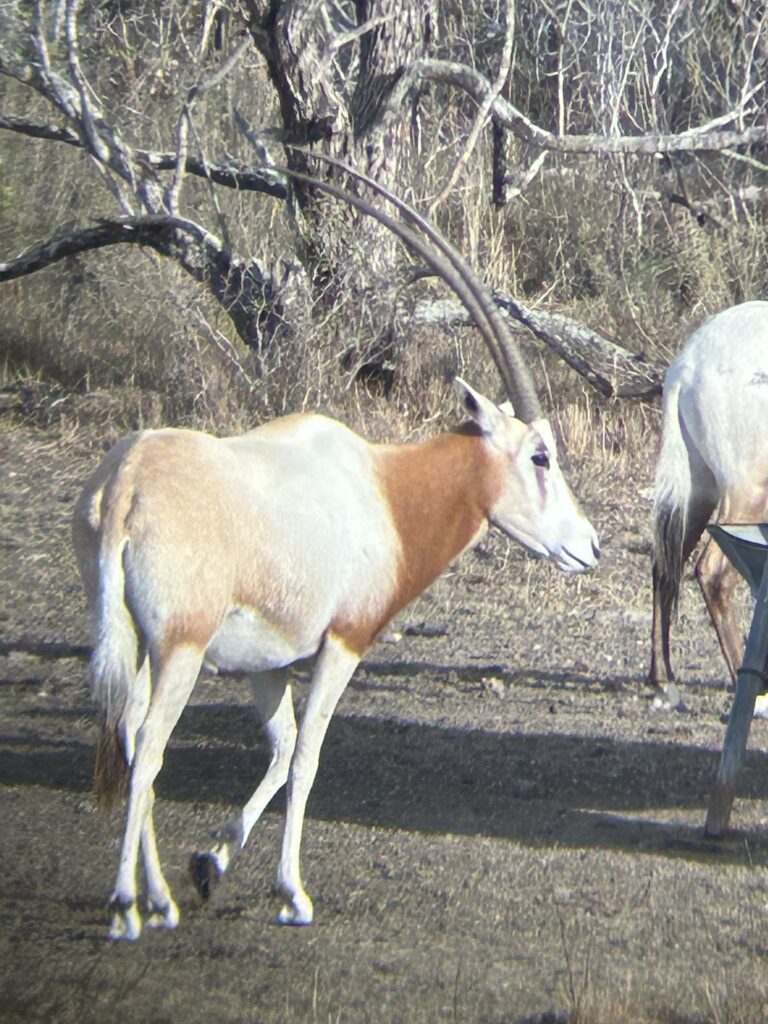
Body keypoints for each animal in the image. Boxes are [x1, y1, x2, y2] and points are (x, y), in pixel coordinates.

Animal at [73, 163, 600, 941]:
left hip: (137, 643)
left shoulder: (264, 662)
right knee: (148, 753)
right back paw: (132, 906)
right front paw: (291, 893)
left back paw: (159, 893)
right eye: (540, 455)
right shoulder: (343, 643)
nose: (589, 546)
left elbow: (280, 748)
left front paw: (212, 862)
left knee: (131, 737)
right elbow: (308, 757)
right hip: (179, 648)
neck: (385, 490)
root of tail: (128, 481)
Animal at [650, 300, 768, 712]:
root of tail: (688, 367)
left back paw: (664, 683)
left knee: (664, 564)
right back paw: (756, 696)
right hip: (748, 494)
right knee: (713, 571)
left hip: (698, 491)